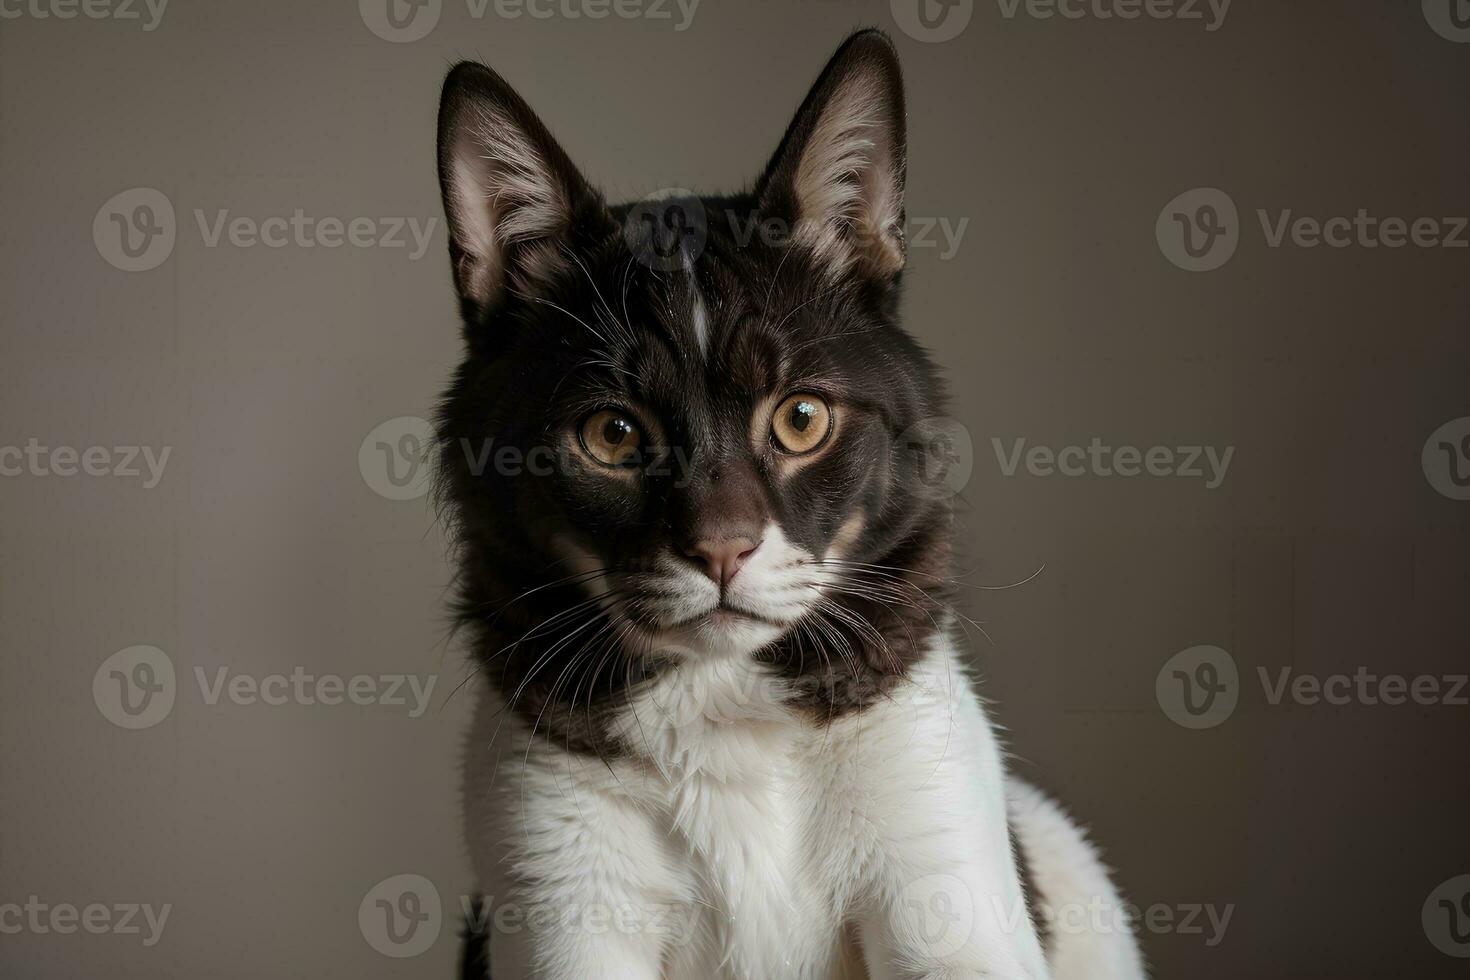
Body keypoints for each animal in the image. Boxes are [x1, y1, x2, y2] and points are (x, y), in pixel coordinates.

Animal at [429, 26, 1140, 975]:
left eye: (801, 418)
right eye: (612, 435)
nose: (722, 550)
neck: (724, 705)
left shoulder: (944, 865)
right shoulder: (556, 888)